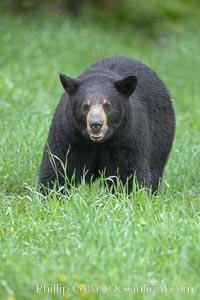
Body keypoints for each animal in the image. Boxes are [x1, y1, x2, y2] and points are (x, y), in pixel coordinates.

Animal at [38, 56, 175, 193]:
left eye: (107, 105)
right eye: (85, 106)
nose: (95, 124)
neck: (99, 143)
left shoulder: (128, 138)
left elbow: (129, 173)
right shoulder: (68, 135)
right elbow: (57, 167)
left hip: (160, 136)